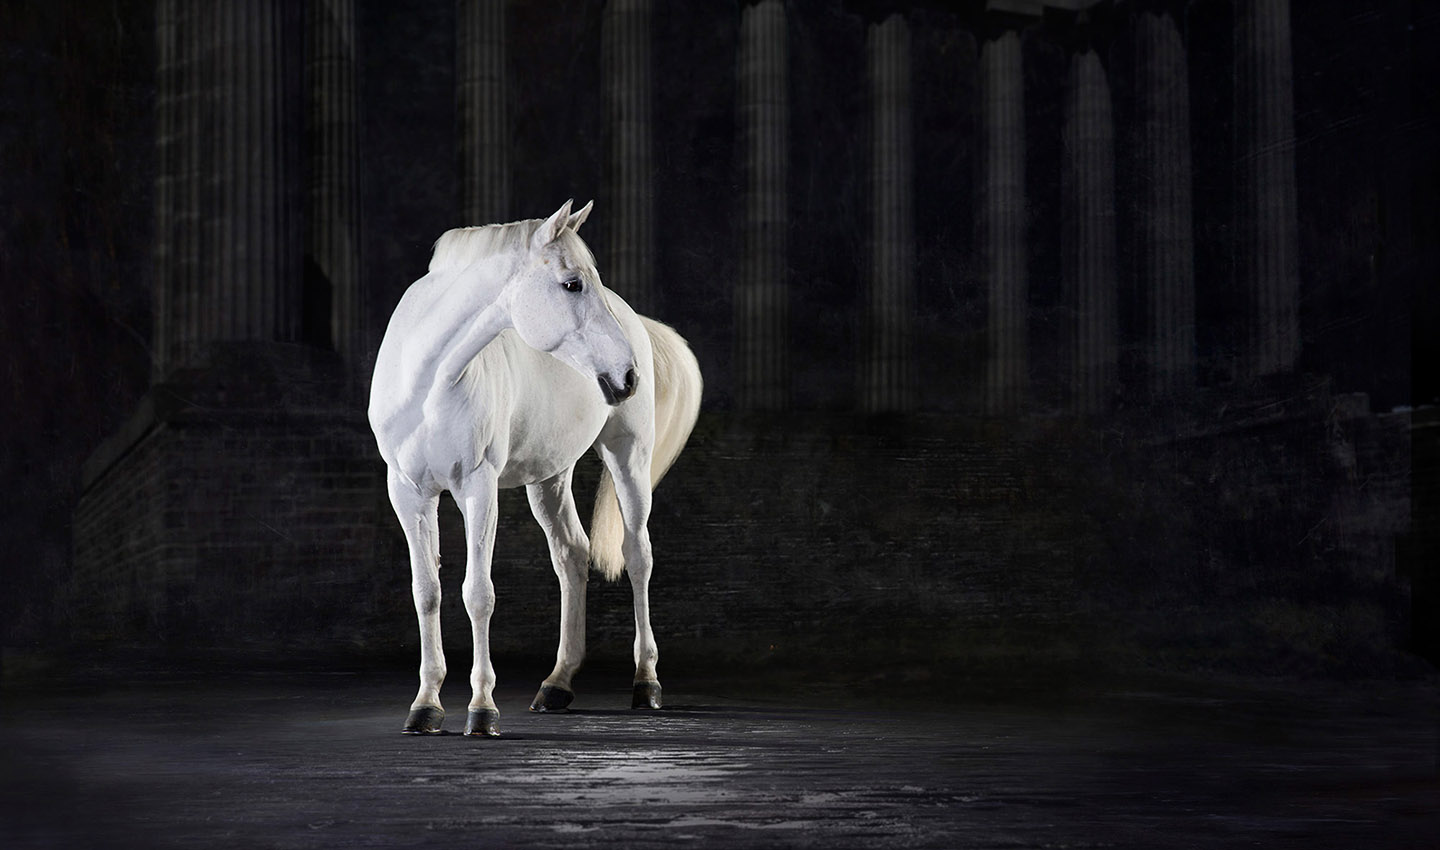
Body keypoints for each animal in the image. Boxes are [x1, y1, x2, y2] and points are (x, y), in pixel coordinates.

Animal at [368, 200, 703, 737]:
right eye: (572, 283)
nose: (627, 375)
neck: (428, 385)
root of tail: (635, 319)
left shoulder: (477, 488)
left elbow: (478, 593)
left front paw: (482, 709)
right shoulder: (407, 492)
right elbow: (427, 593)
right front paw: (425, 706)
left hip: (628, 455)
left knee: (638, 555)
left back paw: (646, 682)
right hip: (549, 477)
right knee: (571, 555)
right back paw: (557, 684)